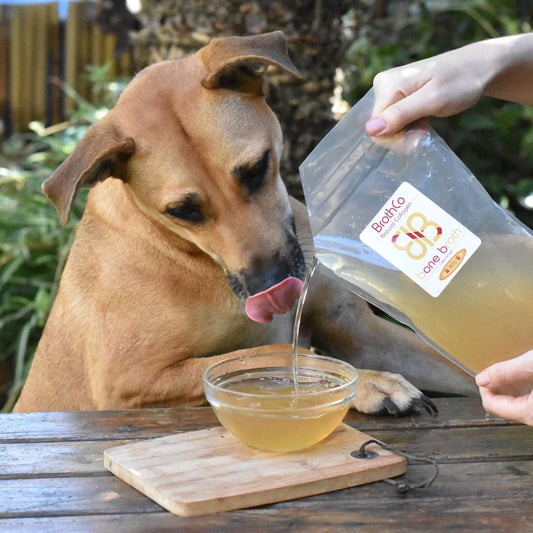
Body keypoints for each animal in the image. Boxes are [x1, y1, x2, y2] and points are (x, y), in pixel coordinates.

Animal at [12, 32, 474, 416]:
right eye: (182, 210)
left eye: (256, 168)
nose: (272, 285)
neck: (185, 256)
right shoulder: (128, 379)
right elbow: (279, 355)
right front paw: (370, 383)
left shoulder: (359, 332)